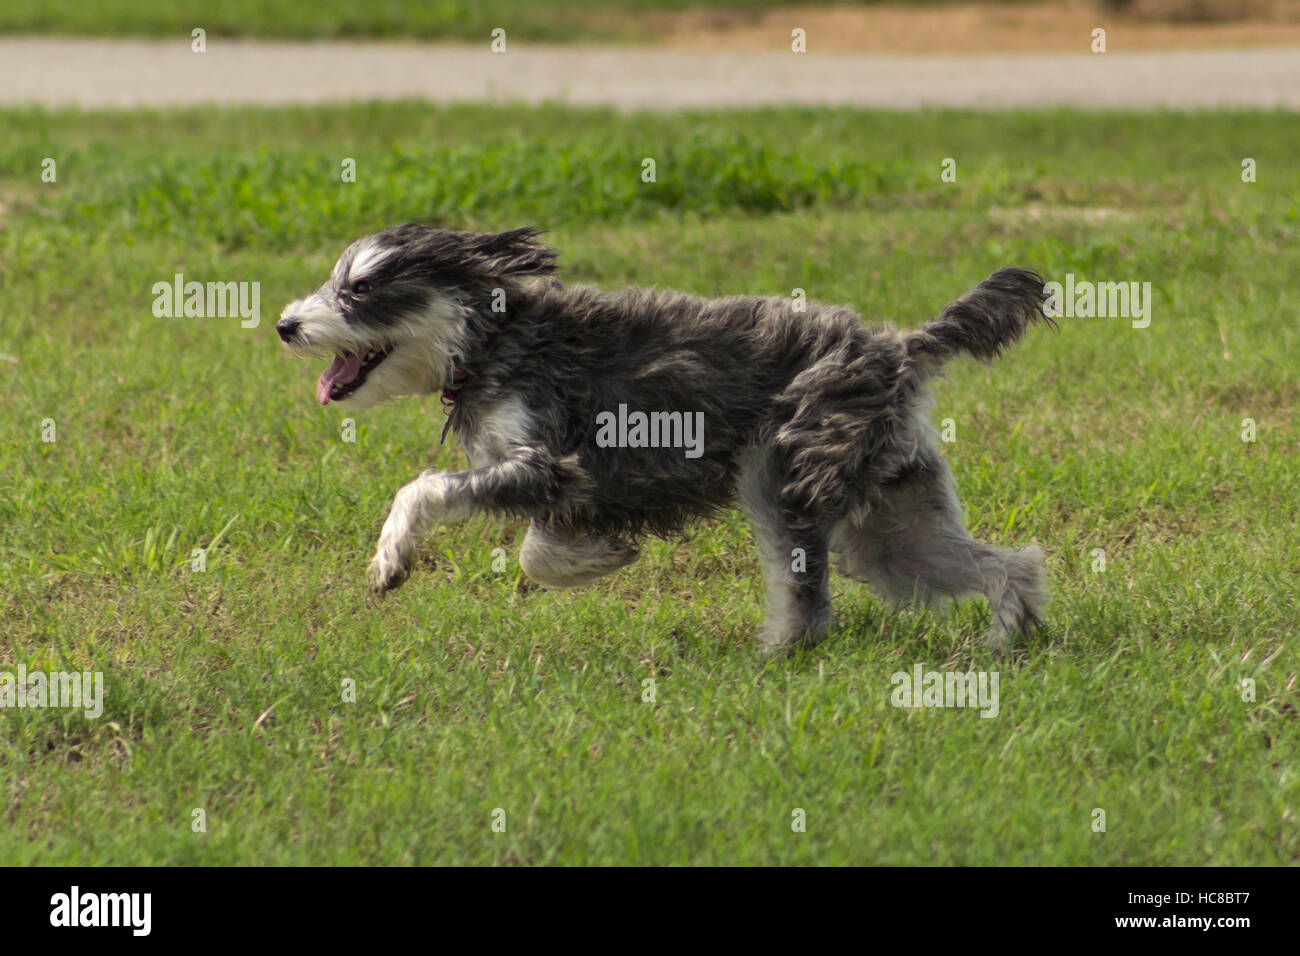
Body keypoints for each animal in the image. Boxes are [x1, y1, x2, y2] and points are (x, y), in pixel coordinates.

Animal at [276, 223, 1055, 658]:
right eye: (334, 279)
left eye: (361, 288)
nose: (285, 324)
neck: (491, 338)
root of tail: (901, 349)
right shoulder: (552, 477)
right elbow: (541, 547)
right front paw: (596, 555)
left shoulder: (549, 461)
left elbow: (437, 495)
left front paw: (391, 558)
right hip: (889, 527)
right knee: (1007, 565)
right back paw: (1006, 642)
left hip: (782, 473)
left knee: (808, 604)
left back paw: (774, 657)